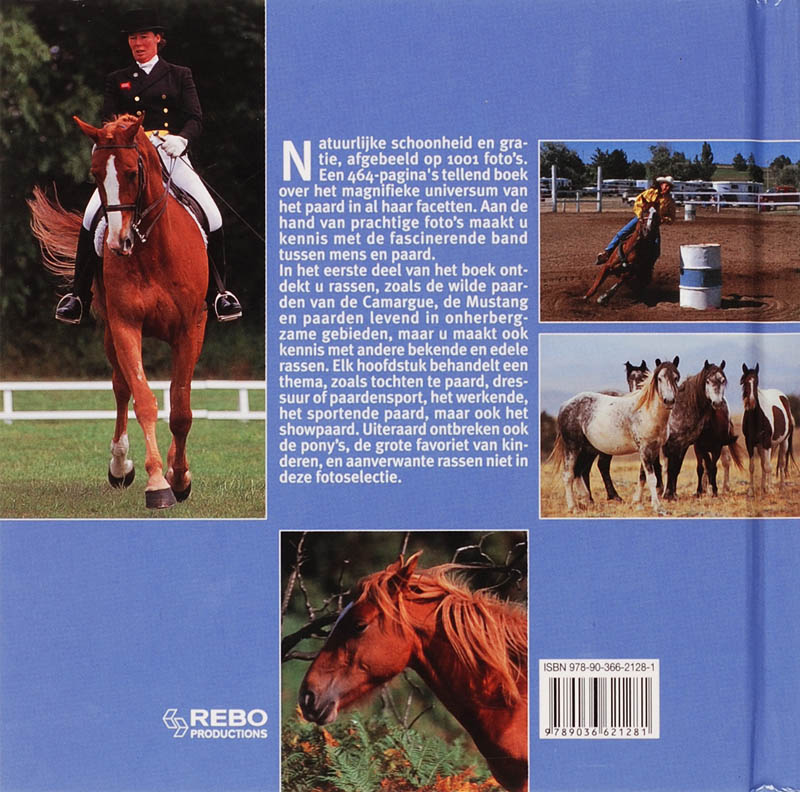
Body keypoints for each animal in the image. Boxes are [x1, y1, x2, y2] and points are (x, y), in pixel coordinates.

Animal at [28, 114, 208, 509]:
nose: (117, 242)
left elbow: (181, 409)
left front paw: (180, 477)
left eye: (130, 173)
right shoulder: (125, 324)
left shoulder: (190, 329)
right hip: (111, 332)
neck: (152, 250)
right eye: (95, 174)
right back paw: (120, 465)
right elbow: (144, 400)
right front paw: (157, 484)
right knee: (120, 386)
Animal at [549, 357, 680, 513]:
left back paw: (587, 500)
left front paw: (637, 502)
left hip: (587, 449)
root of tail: (565, 405)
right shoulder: (645, 449)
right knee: (568, 475)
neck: (647, 412)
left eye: (676, 378)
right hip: (572, 447)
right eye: (659, 379)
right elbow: (651, 478)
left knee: (578, 472)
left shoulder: (653, 449)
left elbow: (642, 477)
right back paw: (573, 507)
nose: (669, 400)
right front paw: (658, 507)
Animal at [662, 361, 729, 501]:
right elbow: (671, 469)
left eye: (723, 380)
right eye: (707, 381)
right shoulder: (673, 445)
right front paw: (668, 494)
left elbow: (676, 468)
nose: (717, 403)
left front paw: (673, 494)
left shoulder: (684, 445)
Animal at [740, 364, 795, 496]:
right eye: (744, 381)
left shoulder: (767, 442)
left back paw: (781, 487)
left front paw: (770, 490)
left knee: (780, 464)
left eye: (757, 382)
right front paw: (752, 490)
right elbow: (753, 467)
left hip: (783, 442)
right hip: (765, 445)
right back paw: (763, 487)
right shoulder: (750, 443)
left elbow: (768, 466)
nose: (751, 402)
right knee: (764, 463)